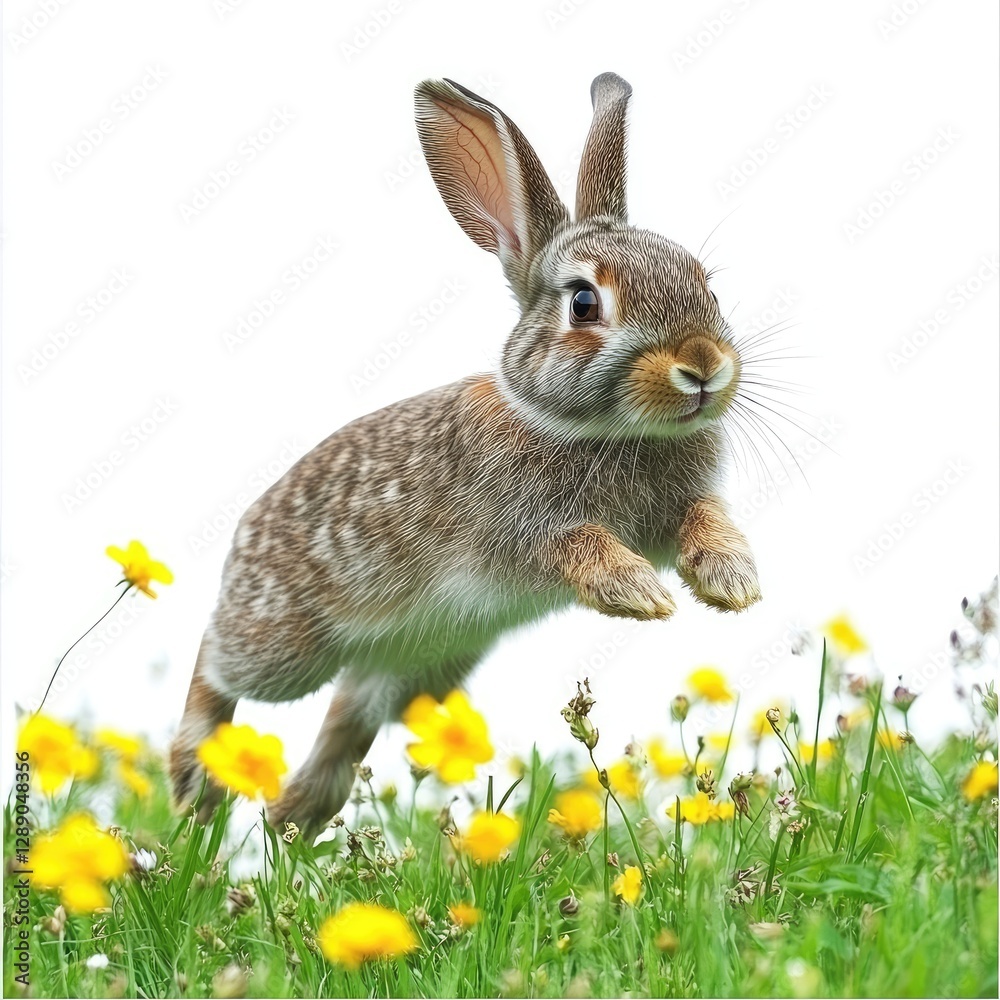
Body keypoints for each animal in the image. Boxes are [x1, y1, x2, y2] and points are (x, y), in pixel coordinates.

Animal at [170, 72, 762, 836]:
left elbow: (705, 520)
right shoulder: (523, 531)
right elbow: (578, 545)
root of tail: (240, 539)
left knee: (343, 727)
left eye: (705, 282)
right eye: (583, 303)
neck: (604, 429)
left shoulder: (683, 506)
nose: (703, 367)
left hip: (417, 665)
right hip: (286, 648)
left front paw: (731, 582)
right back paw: (195, 781)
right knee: (215, 662)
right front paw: (639, 594)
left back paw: (286, 821)